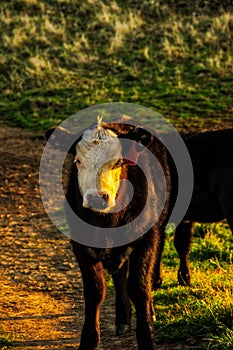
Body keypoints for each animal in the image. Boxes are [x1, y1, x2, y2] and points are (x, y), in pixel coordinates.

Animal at [45, 117, 177, 350]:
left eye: (118, 162)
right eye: (77, 161)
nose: (97, 197)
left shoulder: (146, 240)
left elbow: (140, 288)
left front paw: (147, 337)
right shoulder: (81, 246)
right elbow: (95, 292)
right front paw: (88, 340)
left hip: (159, 226)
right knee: (119, 274)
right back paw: (122, 319)